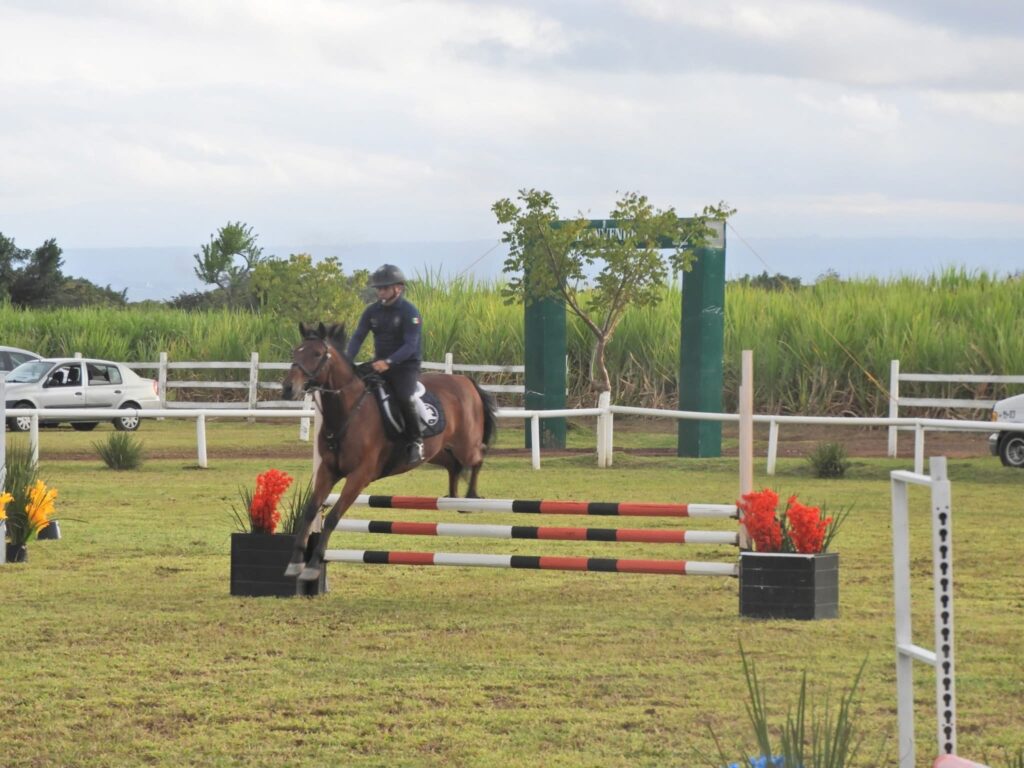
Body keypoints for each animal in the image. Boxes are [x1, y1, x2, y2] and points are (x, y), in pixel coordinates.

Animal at [280, 321, 498, 582]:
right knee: (453, 464)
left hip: (465, 445)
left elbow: (332, 517)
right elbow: (310, 510)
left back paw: (471, 497)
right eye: (295, 351)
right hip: (437, 451)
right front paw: (295, 562)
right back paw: (454, 497)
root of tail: (466, 380)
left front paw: (313, 565)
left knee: (478, 456)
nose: (287, 388)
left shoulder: (360, 475)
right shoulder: (328, 470)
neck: (348, 412)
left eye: (316, 354)